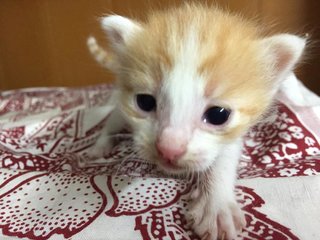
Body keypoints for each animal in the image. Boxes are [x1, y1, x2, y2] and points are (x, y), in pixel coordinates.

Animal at [87, 3, 304, 240]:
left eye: (218, 115)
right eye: (144, 101)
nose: (169, 149)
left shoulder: (236, 134)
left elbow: (224, 155)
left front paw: (216, 204)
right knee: (113, 119)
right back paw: (100, 146)